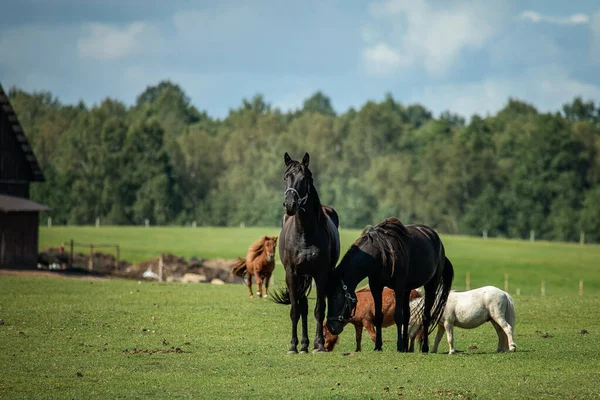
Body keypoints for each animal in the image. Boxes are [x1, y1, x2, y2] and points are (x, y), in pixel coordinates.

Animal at [270, 152, 340, 354]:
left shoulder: (321, 274)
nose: (290, 204)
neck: (304, 234)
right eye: (286, 177)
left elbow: (320, 310)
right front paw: (293, 346)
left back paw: (309, 344)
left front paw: (320, 344)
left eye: (305, 178)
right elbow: (295, 310)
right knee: (303, 307)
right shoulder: (292, 274)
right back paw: (302, 344)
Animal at [326, 217, 452, 352]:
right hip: (407, 289)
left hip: (430, 285)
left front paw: (399, 345)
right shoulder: (376, 286)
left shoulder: (399, 286)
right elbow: (379, 316)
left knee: (426, 316)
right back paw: (406, 347)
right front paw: (378, 346)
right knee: (407, 315)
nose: (331, 327)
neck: (382, 255)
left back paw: (424, 348)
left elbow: (398, 316)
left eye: (335, 297)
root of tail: (438, 242)